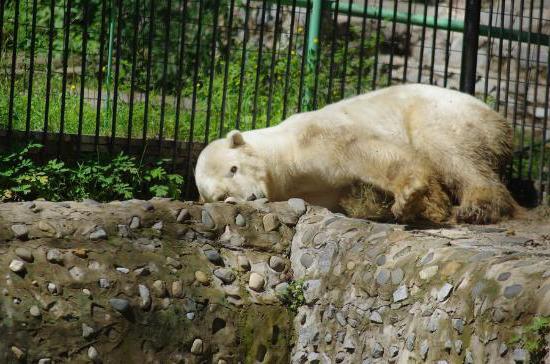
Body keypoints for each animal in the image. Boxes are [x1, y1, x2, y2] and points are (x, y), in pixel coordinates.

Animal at [195, 83, 520, 223]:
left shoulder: (314, 138)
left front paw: (409, 197)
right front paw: (427, 205)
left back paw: (478, 206)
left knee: (450, 151)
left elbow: (362, 150)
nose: (251, 197)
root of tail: (500, 120)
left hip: (447, 115)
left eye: (233, 168)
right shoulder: (318, 190)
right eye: (221, 196)